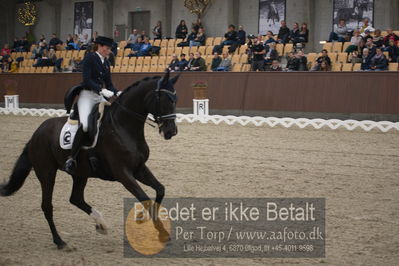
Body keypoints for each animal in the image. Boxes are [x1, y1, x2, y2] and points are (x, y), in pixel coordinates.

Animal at [0, 70, 178, 249]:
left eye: (175, 99)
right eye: (165, 100)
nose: (171, 132)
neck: (122, 127)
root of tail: (36, 134)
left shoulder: (139, 168)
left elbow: (160, 189)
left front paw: (142, 218)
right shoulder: (123, 173)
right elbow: (145, 198)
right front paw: (161, 232)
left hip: (80, 173)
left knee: (76, 198)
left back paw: (101, 224)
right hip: (46, 173)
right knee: (47, 206)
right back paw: (60, 241)